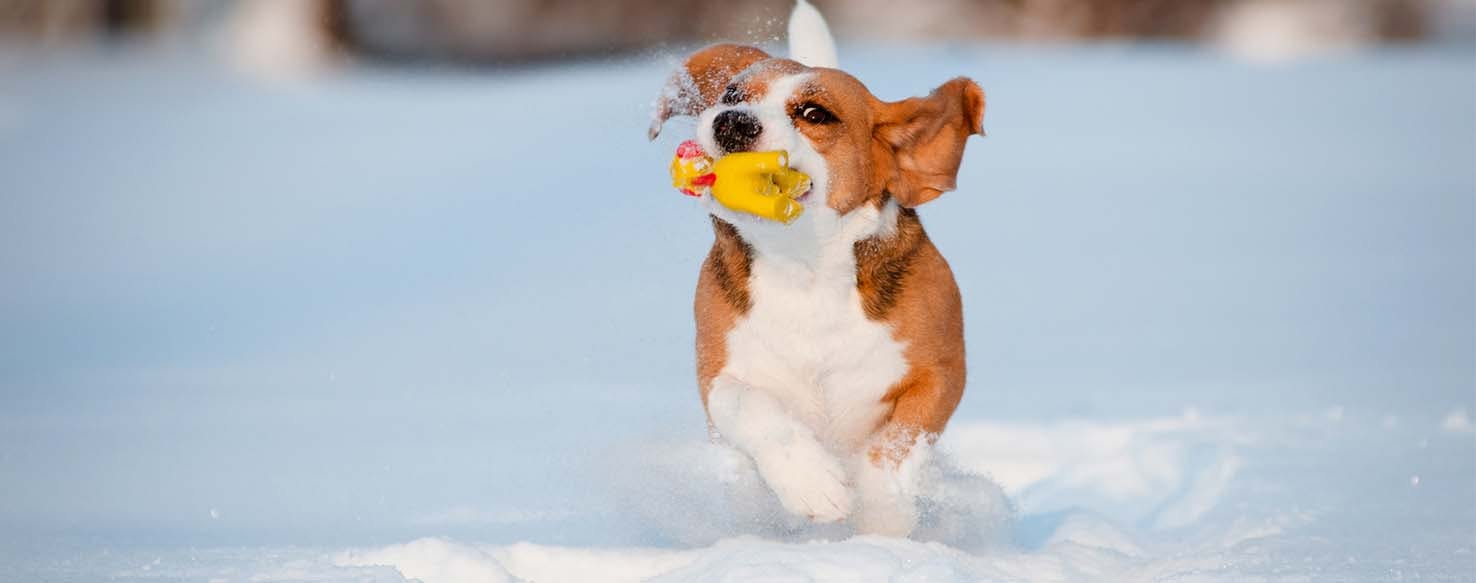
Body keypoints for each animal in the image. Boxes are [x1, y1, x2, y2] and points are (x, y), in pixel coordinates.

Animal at [652, 1, 985, 540]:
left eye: (814, 114)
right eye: (730, 95)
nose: (731, 122)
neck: (803, 268)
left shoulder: (940, 374)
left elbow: (894, 447)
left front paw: (883, 518)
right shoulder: (718, 374)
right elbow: (749, 406)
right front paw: (812, 483)